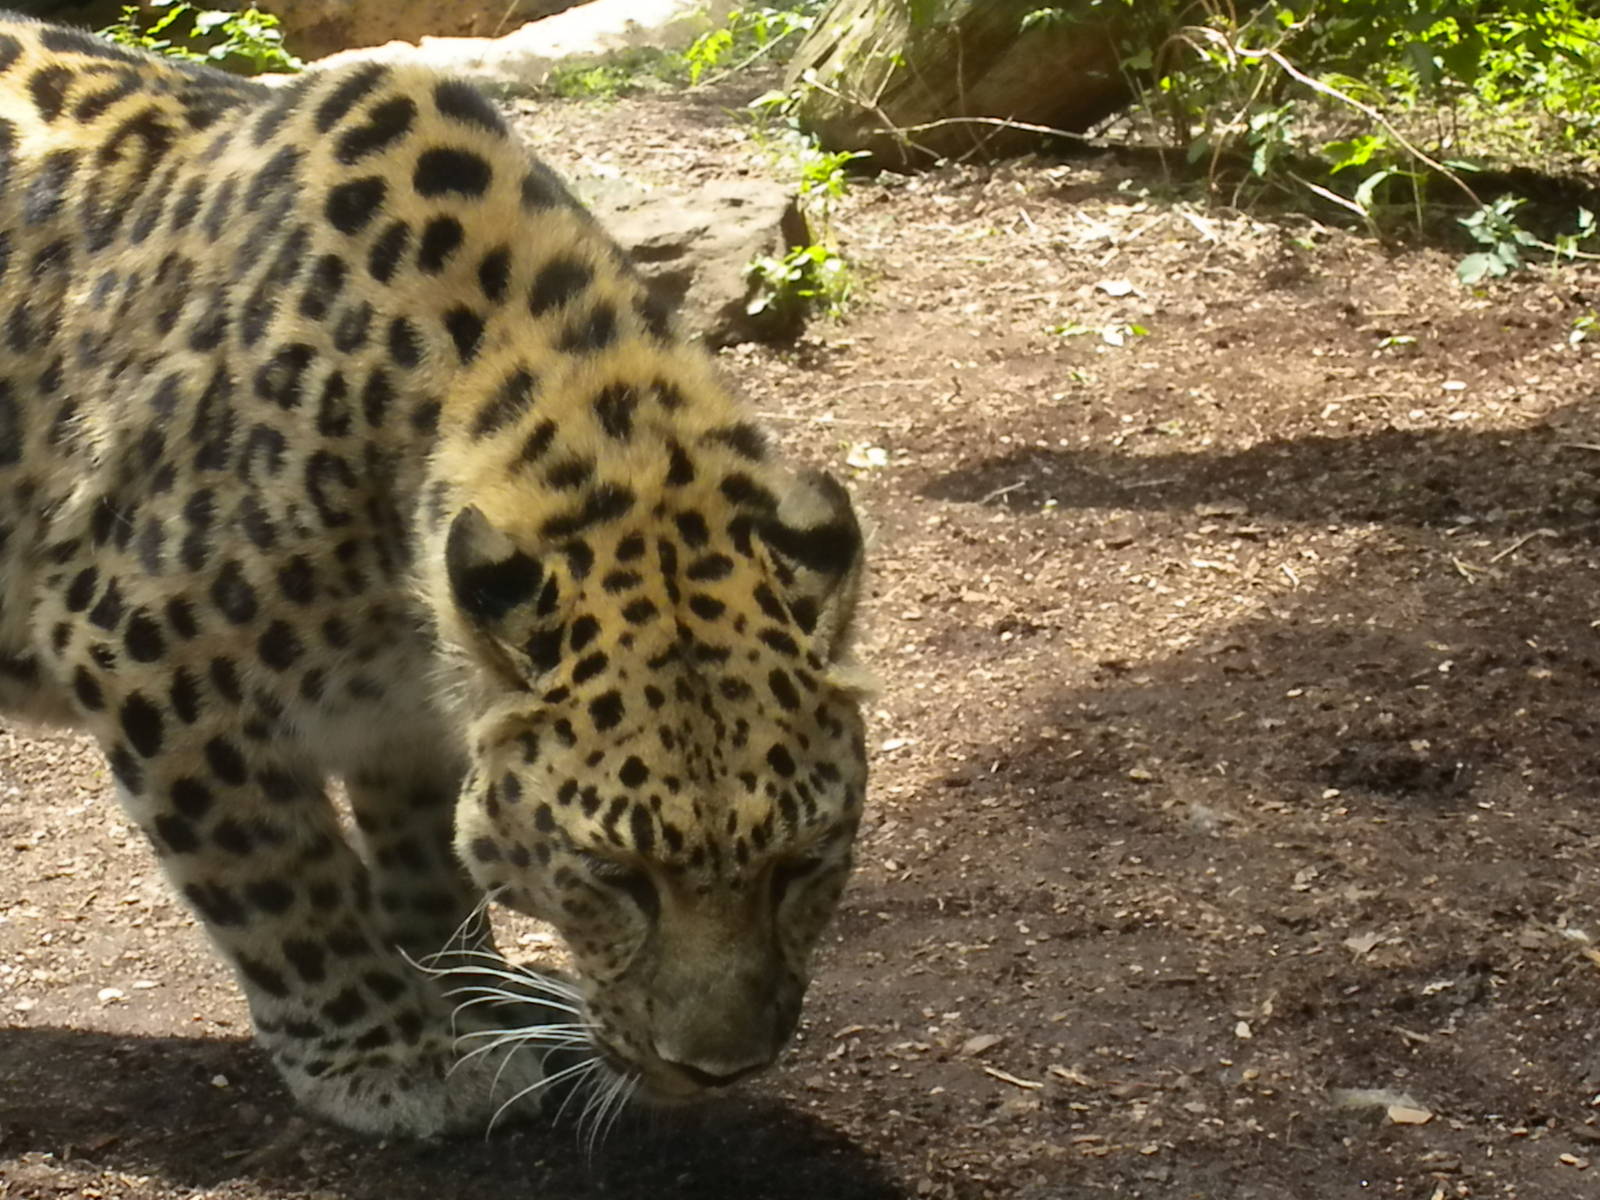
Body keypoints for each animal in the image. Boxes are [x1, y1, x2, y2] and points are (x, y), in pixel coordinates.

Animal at [0, 11, 869, 1138]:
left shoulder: (404, 712)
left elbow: (426, 860)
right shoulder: (138, 647)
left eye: (801, 864)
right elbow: (282, 878)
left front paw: (477, 1001)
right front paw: (393, 1052)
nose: (719, 1070)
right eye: (615, 875)